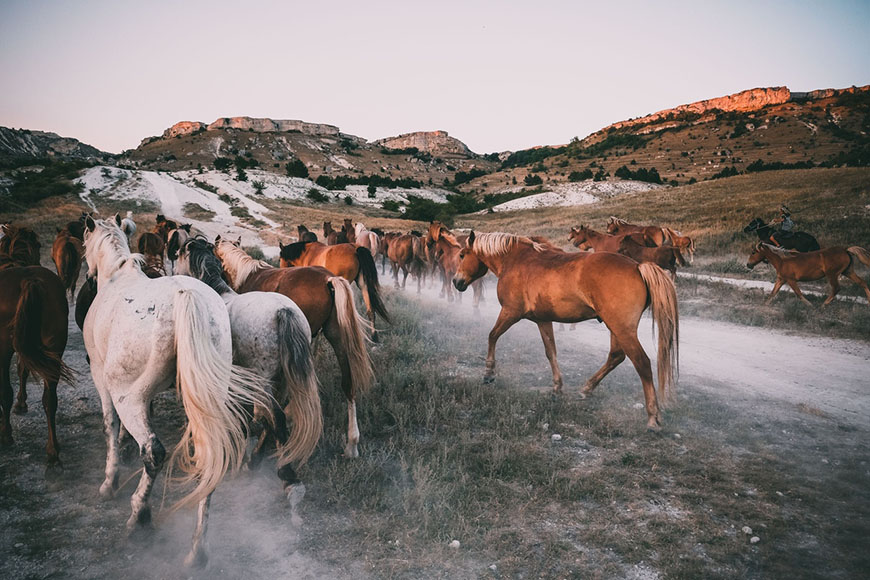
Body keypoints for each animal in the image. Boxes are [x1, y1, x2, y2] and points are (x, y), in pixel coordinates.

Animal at [83, 218, 272, 568]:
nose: (86, 275)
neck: (117, 275)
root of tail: (188, 296)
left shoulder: (101, 379)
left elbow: (109, 427)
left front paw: (109, 481)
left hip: (128, 396)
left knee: (153, 451)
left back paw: (139, 516)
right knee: (208, 461)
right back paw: (198, 550)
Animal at [176, 236, 324, 508]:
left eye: (179, 253)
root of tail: (283, 312)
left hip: (264, 379)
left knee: (276, 417)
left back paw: (284, 473)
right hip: (281, 380)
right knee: (274, 417)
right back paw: (259, 461)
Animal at [456, 231, 680, 430]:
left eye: (462, 255)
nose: (456, 282)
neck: (516, 261)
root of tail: (637, 266)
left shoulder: (511, 312)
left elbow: (492, 336)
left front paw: (489, 372)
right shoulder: (543, 320)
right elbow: (551, 352)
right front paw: (557, 387)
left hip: (622, 329)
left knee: (642, 363)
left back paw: (652, 417)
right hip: (616, 328)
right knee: (616, 356)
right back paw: (586, 389)